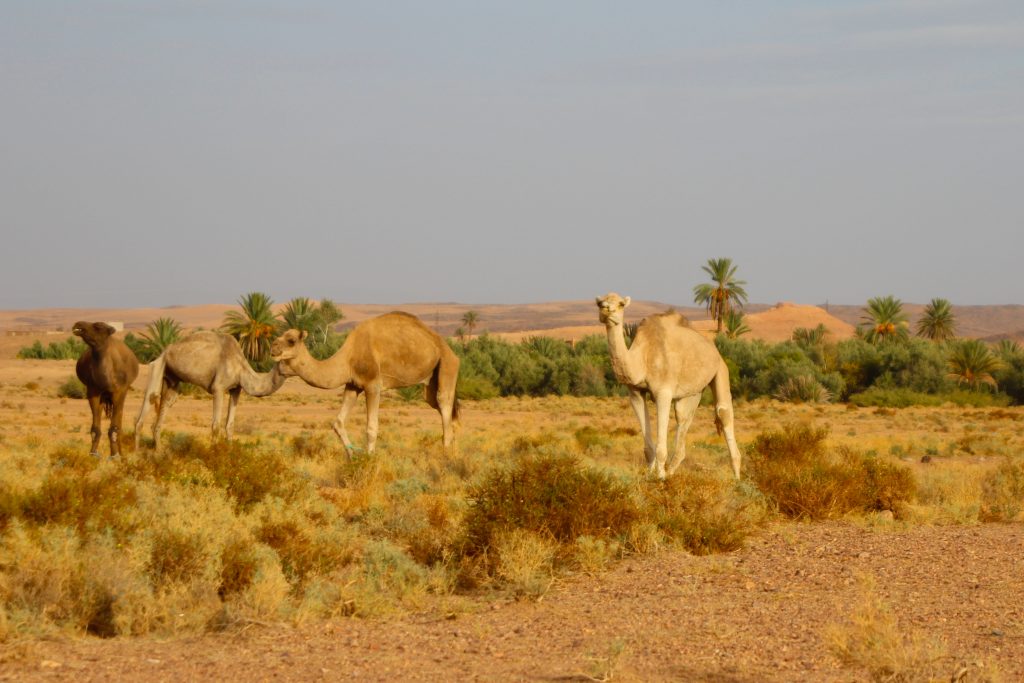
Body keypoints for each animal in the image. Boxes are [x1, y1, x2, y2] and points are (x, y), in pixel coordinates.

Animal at [72, 321, 140, 458]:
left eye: (98, 326)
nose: (78, 324)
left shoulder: (119, 391)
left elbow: (114, 428)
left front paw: (115, 455)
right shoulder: (93, 392)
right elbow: (95, 429)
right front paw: (93, 453)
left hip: (123, 393)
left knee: (119, 422)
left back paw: (121, 453)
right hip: (104, 398)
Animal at [135, 329, 288, 450]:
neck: (240, 367)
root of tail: (165, 350)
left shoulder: (236, 389)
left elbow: (230, 426)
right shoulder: (218, 389)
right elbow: (216, 426)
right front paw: (214, 455)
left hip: (172, 378)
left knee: (166, 403)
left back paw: (159, 451)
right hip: (158, 365)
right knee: (150, 397)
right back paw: (136, 453)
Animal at [268, 313, 460, 454]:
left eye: (291, 340)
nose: (273, 347)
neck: (348, 358)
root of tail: (449, 349)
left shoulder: (373, 385)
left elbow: (371, 428)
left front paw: (369, 461)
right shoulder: (353, 385)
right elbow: (338, 423)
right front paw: (352, 457)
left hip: (447, 365)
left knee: (444, 404)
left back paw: (446, 457)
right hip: (430, 382)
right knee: (445, 412)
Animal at [598, 294, 741, 481]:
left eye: (621, 304)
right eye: (599, 303)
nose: (607, 310)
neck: (643, 356)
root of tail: (713, 348)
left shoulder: (663, 392)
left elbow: (660, 447)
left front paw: (660, 479)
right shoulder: (635, 392)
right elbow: (648, 447)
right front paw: (650, 475)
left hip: (720, 370)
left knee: (723, 412)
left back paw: (737, 478)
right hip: (693, 392)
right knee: (682, 418)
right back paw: (672, 471)